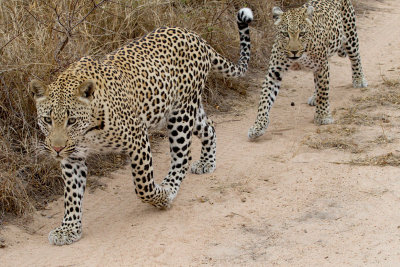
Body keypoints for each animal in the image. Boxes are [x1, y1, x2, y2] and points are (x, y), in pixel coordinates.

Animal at [29, 7, 253, 247]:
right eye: (47, 120)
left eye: (72, 121)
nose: (56, 149)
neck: (89, 132)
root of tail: (196, 37)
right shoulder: (73, 157)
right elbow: (72, 196)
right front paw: (69, 229)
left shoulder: (137, 140)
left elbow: (143, 185)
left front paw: (162, 198)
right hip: (186, 109)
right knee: (209, 127)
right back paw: (207, 162)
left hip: (180, 115)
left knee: (182, 157)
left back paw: (170, 186)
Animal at [248, 0, 368, 141]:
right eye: (285, 34)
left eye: (302, 34)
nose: (294, 51)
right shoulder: (274, 73)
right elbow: (264, 100)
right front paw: (258, 126)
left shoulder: (322, 66)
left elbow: (324, 91)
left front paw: (323, 116)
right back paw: (315, 97)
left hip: (350, 34)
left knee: (355, 57)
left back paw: (359, 79)